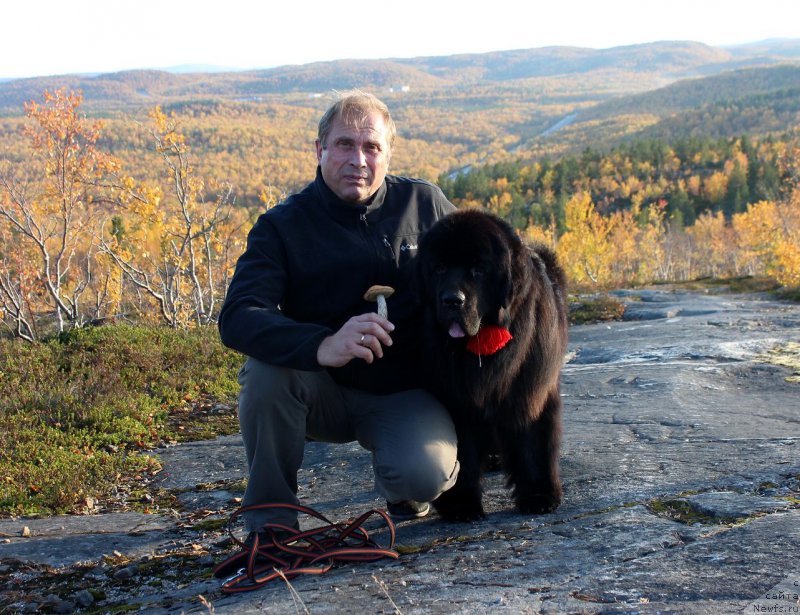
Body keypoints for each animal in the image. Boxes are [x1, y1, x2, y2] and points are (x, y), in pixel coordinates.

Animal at [418, 211, 568, 520]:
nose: (452, 300)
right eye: (439, 268)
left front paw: (539, 495)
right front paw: (461, 504)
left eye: (478, 270)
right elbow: (462, 453)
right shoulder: (458, 400)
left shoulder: (527, 390)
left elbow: (531, 440)